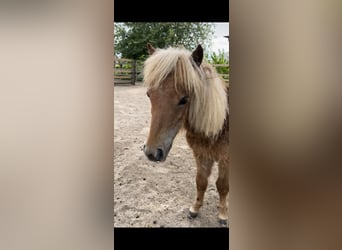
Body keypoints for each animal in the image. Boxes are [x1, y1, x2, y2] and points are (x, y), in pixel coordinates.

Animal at [143, 42, 228, 225]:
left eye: (184, 99)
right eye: (149, 94)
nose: (152, 153)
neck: (219, 124)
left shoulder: (226, 159)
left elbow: (223, 185)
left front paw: (223, 214)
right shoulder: (202, 155)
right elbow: (201, 182)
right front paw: (195, 209)